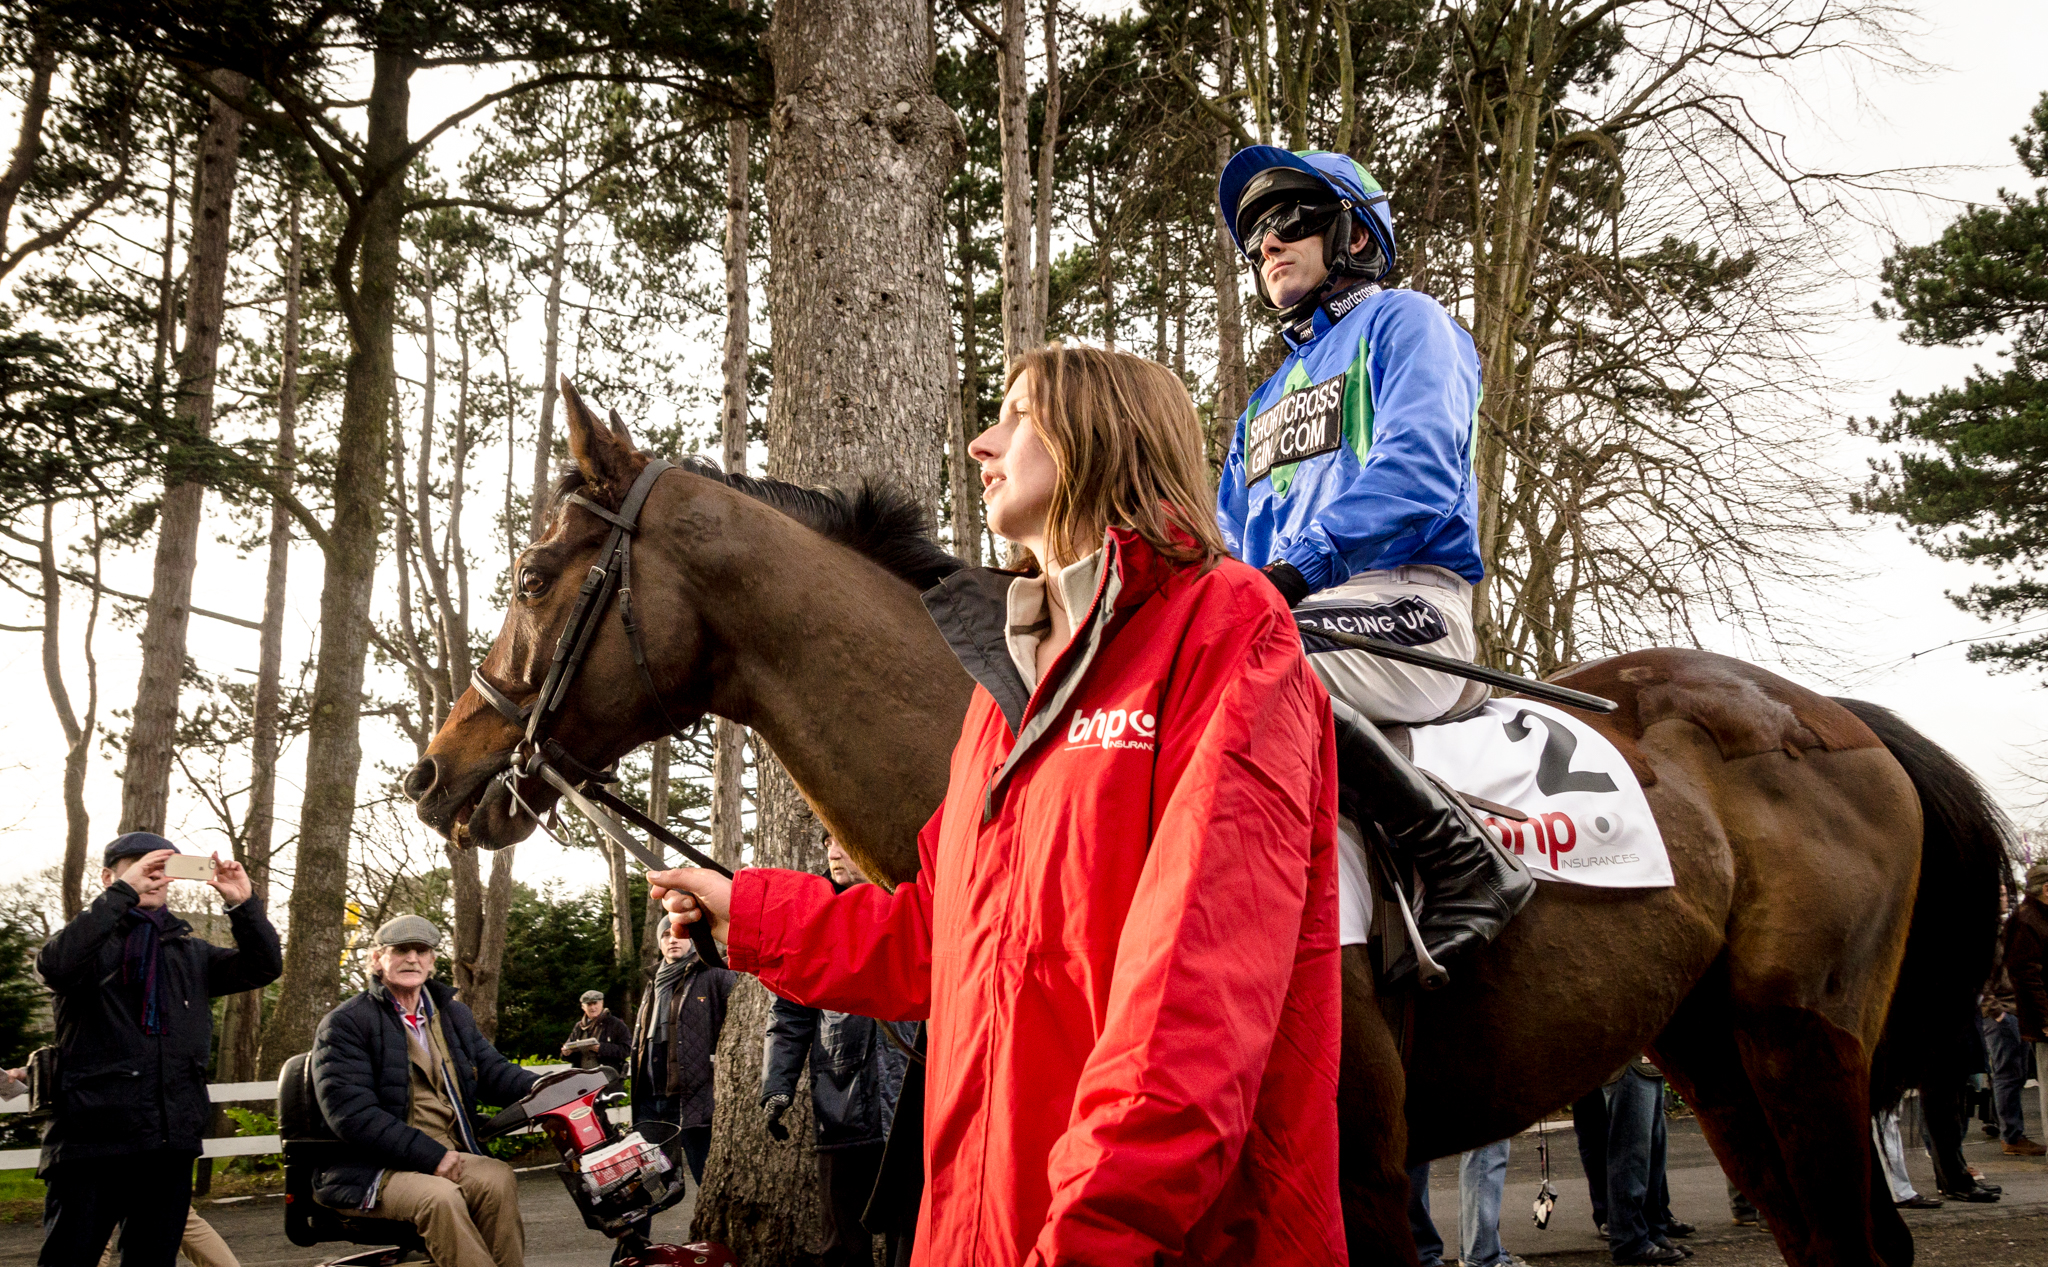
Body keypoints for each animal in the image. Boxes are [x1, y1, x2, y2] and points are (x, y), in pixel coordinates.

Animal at [409, 382, 2006, 1267]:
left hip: (1804, 1046)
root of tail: (1834, 713)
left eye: (539, 569)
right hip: (1717, 1054)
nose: (437, 768)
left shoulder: (1352, 1157)